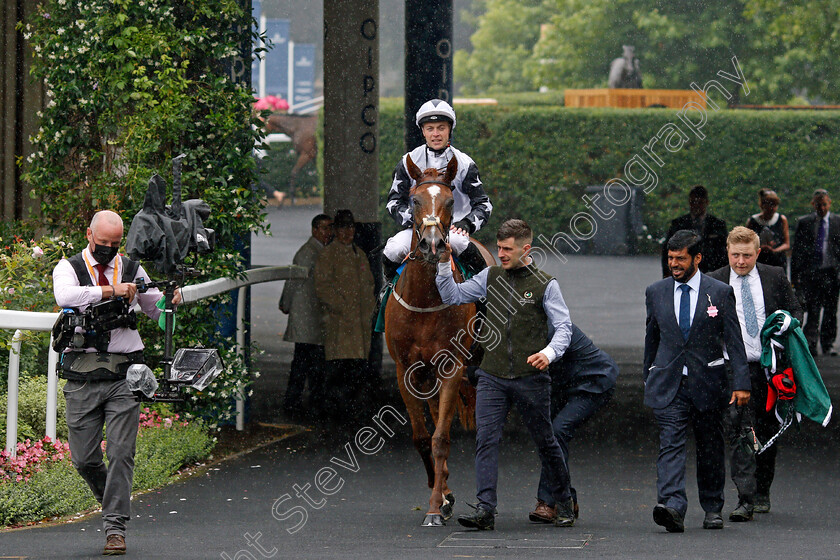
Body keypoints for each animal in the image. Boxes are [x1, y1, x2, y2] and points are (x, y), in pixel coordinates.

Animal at [382, 155, 492, 528]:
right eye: (414, 200)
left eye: (448, 201)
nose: (433, 245)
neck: (427, 300)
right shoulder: (405, 370)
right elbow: (420, 437)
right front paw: (440, 493)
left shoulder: (452, 367)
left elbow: (441, 437)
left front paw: (434, 506)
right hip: (425, 375)